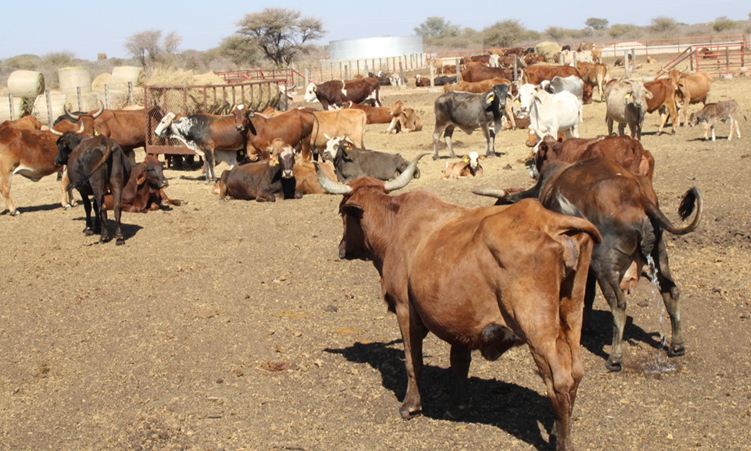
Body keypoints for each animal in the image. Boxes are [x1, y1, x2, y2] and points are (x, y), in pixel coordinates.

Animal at [313, 155, 601, 451]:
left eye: (342, 213)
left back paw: (563, 441)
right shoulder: (460, 322)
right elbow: (459, 362)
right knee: (576, 372)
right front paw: (458, 405)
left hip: (536, 327)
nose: (341, 249)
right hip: (572, 314)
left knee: (560, 381)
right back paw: (555, 430)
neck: (395, 226)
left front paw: (411, 405)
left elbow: (412, 361)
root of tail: (549, 223)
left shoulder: (405, 310)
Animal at [474, 157, 702, 372]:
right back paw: (677, 345)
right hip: (658, 255)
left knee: (619, 305)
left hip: (606, 266)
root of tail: (639, 197)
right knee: (671, 291)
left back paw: (614, 358)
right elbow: (588, 295)